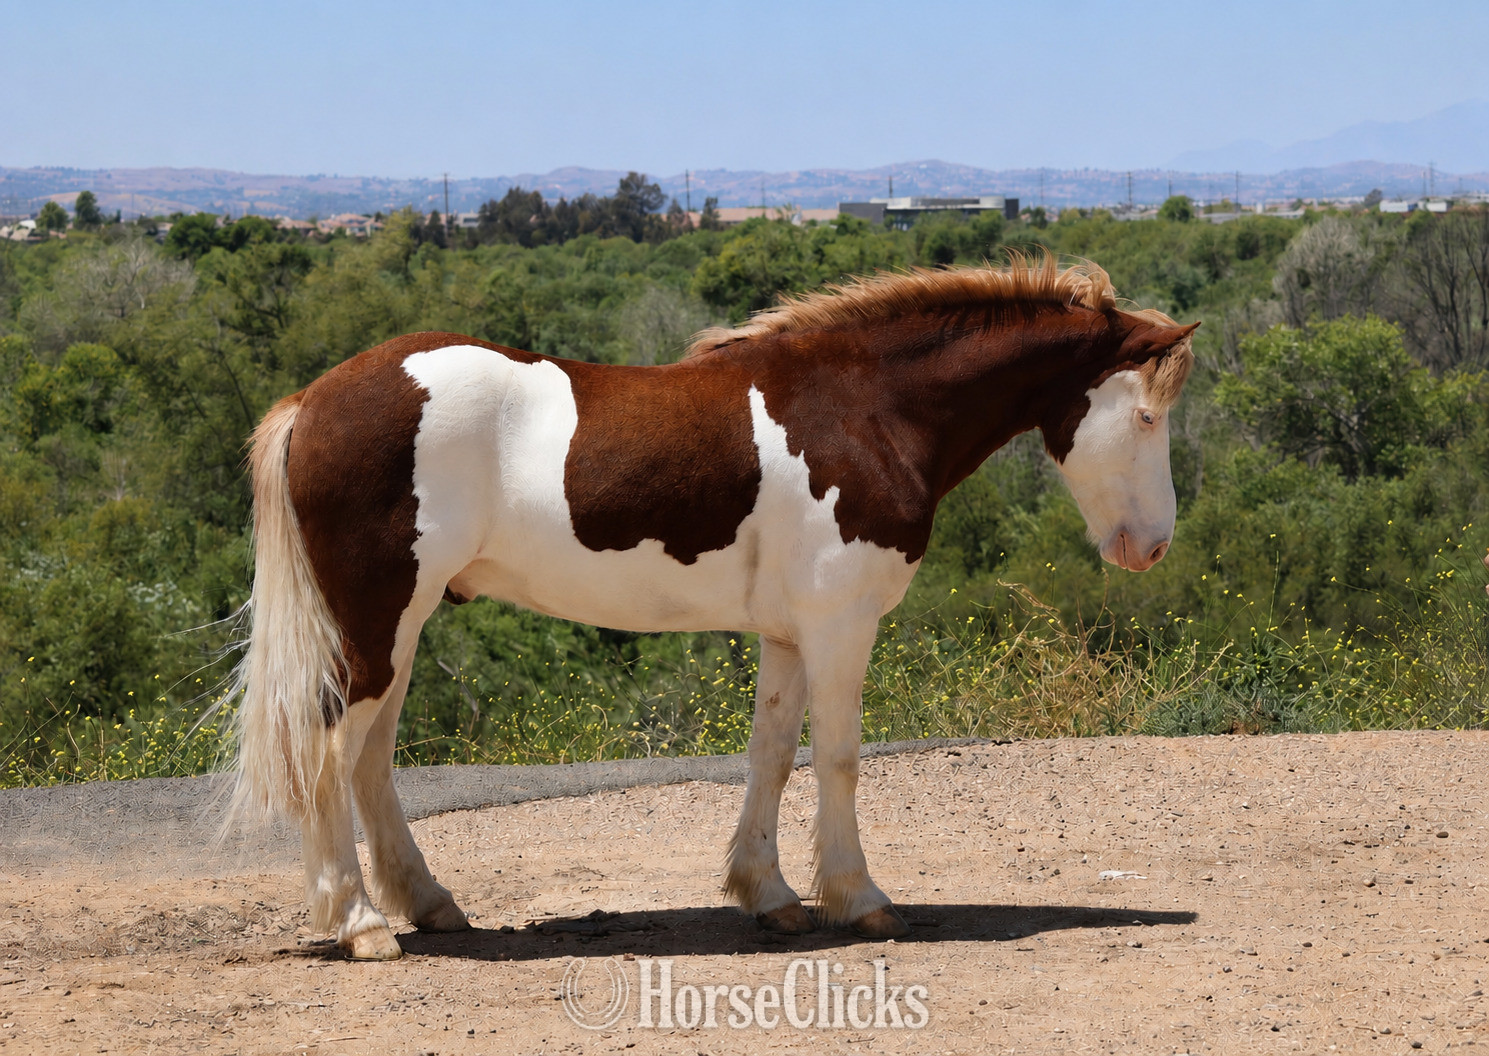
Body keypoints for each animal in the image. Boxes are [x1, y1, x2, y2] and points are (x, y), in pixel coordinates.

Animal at [229, 257, 1197, 959]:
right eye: (1147, 417)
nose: (1151, 547)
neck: (864, 407)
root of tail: (313, 400)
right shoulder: (841, 625)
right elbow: (838, 759)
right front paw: (860, 898)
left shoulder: (789, 634)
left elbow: (770, 758)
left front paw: (769, 895)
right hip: (376, 623)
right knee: (327, 752)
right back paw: (359, 925)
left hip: (400, 626)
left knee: (368, 762)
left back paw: (427, 904)